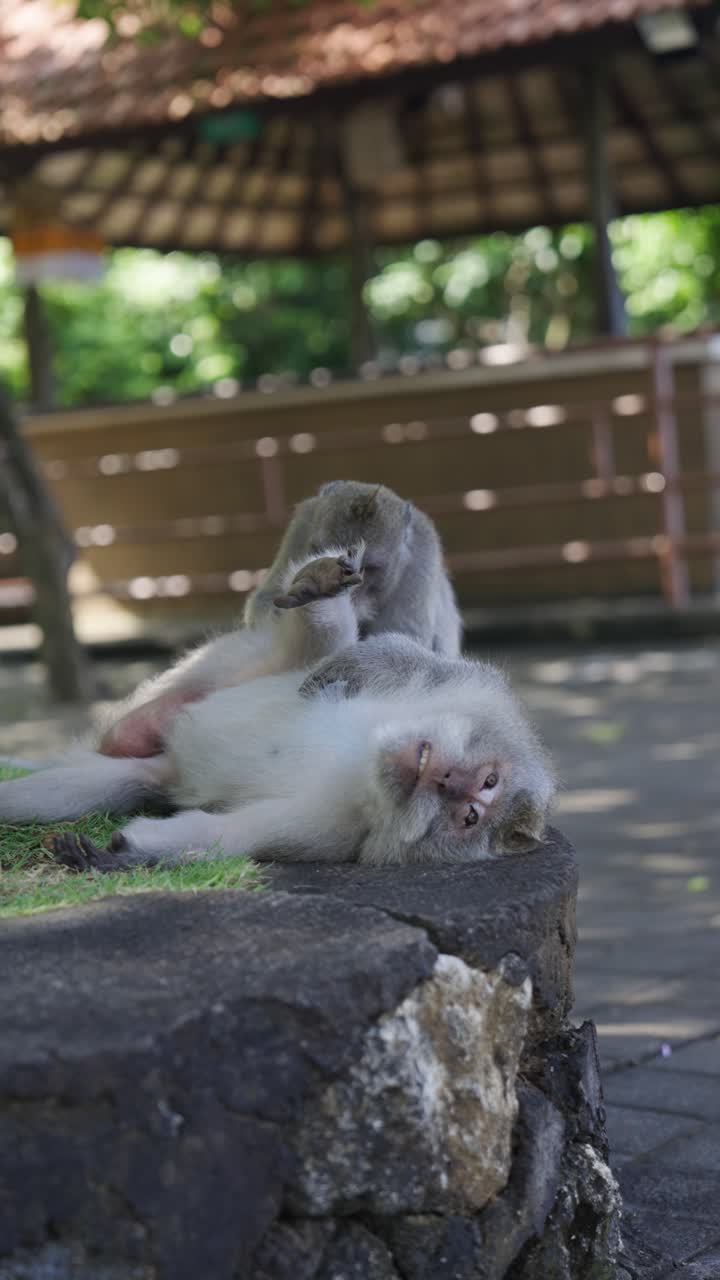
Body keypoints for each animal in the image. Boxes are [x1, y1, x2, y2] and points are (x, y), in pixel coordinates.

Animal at [98, 481, 462, 760]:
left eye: (370, 569)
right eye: (324, 547)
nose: (354, 596)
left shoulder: (423, 551)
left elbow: (407, 635)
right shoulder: (301, 524)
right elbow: (263, 604)